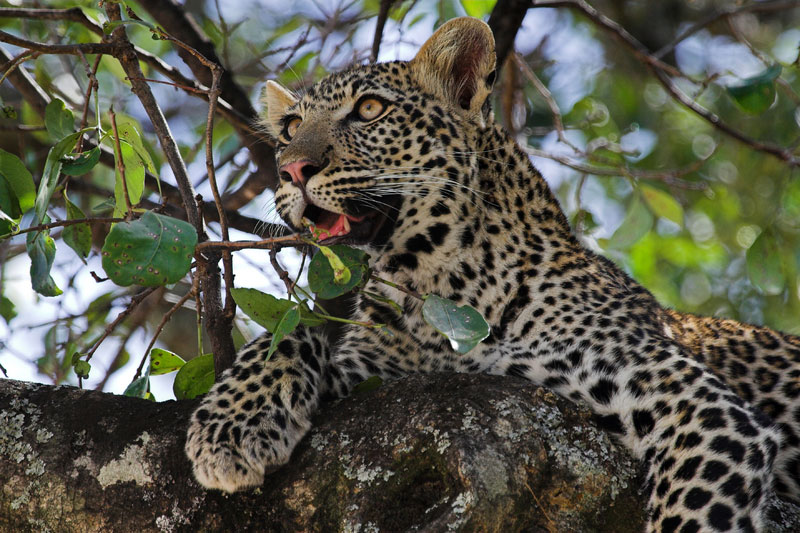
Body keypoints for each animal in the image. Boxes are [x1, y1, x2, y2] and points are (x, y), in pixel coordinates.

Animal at [188, 16, 800, 532]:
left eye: (369, 110)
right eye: (290, 126)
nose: (293, 168)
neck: (435, 287)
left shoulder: (694, 400)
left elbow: (694, 512)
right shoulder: (380, 375)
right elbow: (291, 331)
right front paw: (230, 424)